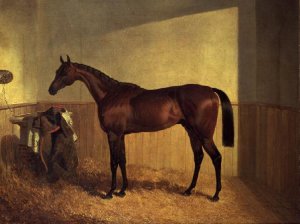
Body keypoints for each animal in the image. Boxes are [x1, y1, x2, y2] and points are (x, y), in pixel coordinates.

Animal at [48, 55, 234, 200]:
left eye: (64, 72)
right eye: (56, 71)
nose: (51, 89)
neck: (111, 95)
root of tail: (210, 90)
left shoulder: (113, 134)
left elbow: (113, 162)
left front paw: (110, 192)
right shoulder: (121, 135)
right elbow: (122, 160)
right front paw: (122, 190)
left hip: (205, 135)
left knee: (216, 157)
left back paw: (216, 195)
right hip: (192, 133)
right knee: (199, 157)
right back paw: (188, 190)